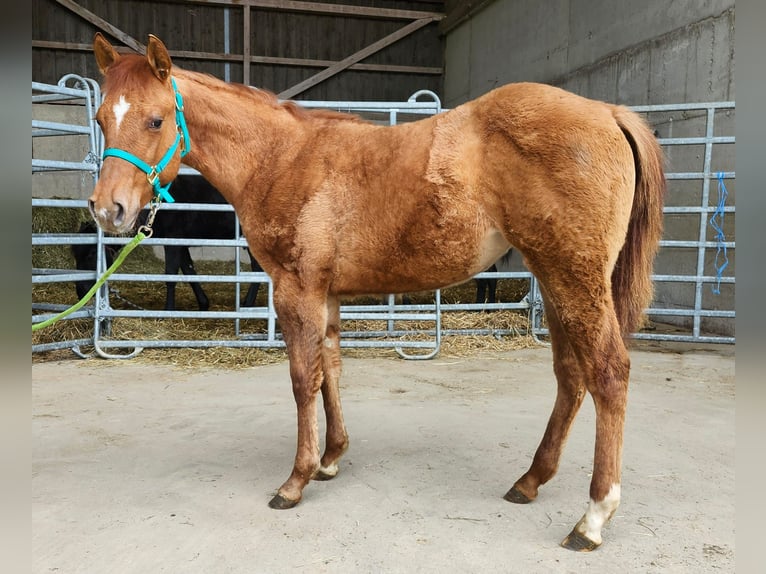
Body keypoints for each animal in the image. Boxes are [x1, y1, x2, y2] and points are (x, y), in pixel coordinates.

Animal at [73, 175, 263, 310]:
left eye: (91, 253)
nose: (81, 292)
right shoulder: (180, 242)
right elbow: (189, 270)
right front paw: (203, 303)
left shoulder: (172, 240)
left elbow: (170, 274)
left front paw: (168, 309)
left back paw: (248, 303)